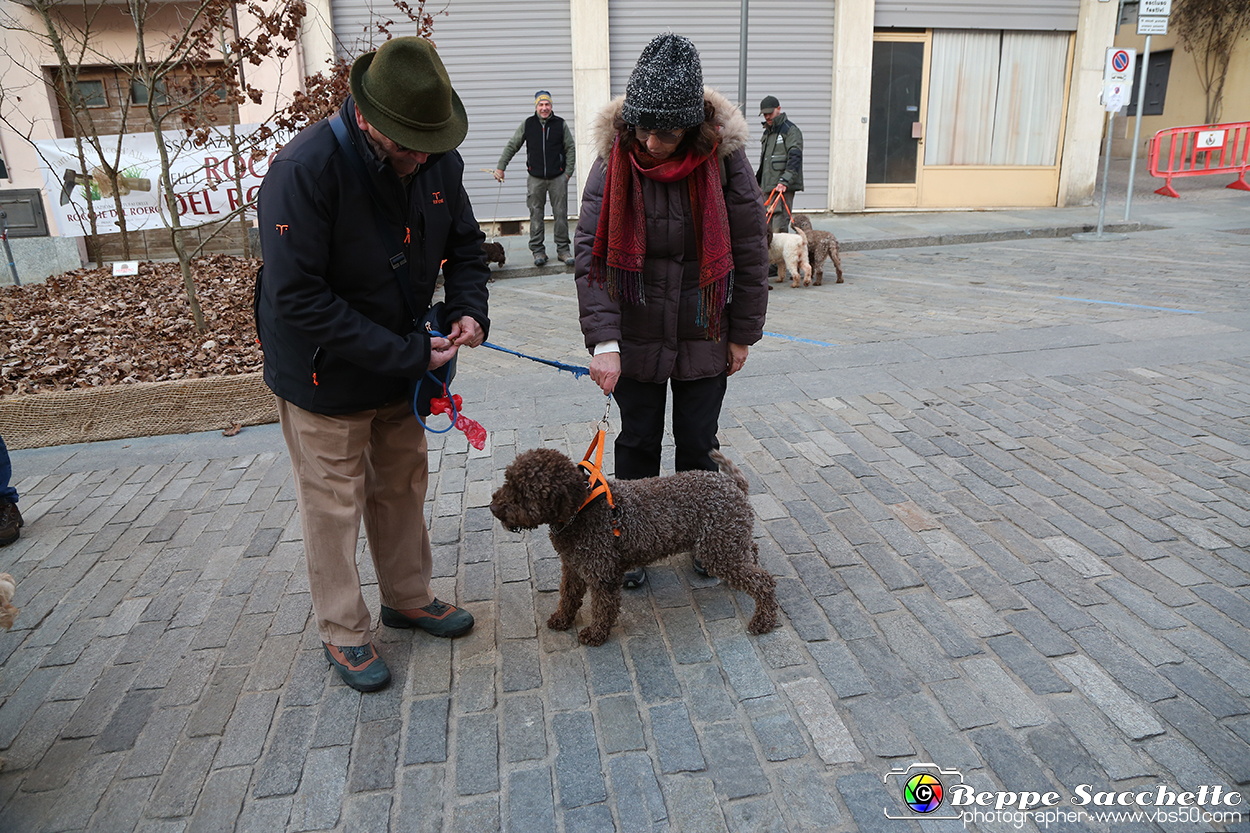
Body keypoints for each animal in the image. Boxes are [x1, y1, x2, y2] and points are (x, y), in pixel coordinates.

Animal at [485, 447, 770, 640]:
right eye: (508, 480)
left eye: (526, 493)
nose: (494, 508)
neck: (582, 510)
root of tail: (734, 484)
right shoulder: (572, 567)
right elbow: (568, 596)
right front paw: (562, 619)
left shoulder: (601, 572)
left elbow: (603, 606)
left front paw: (596, 634)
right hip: (729, 541)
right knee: (753, 553)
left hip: (719, 549)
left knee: (764, 582)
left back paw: (764, 620)